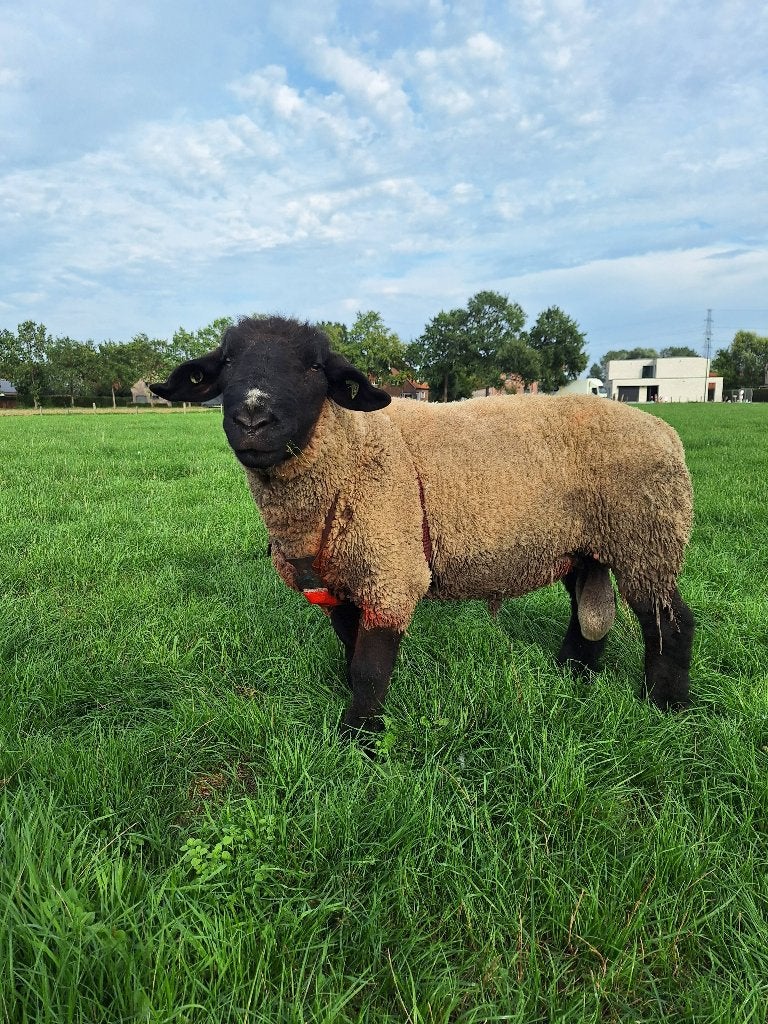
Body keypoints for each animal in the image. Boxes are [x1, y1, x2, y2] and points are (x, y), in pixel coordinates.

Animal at [151, 315, 695, 737]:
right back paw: (570, 676)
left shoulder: (391, 570)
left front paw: (360, 739)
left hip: (647, 539)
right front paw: (357, 715)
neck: (350, 452)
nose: (251, 419)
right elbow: (351, 652)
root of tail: (662, 429)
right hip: (587, 546)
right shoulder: (342, 581)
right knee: (590, 616)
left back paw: (665, 704)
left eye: (314, 367)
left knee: (670, 623)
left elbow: (370, 668)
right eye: (226, 364)